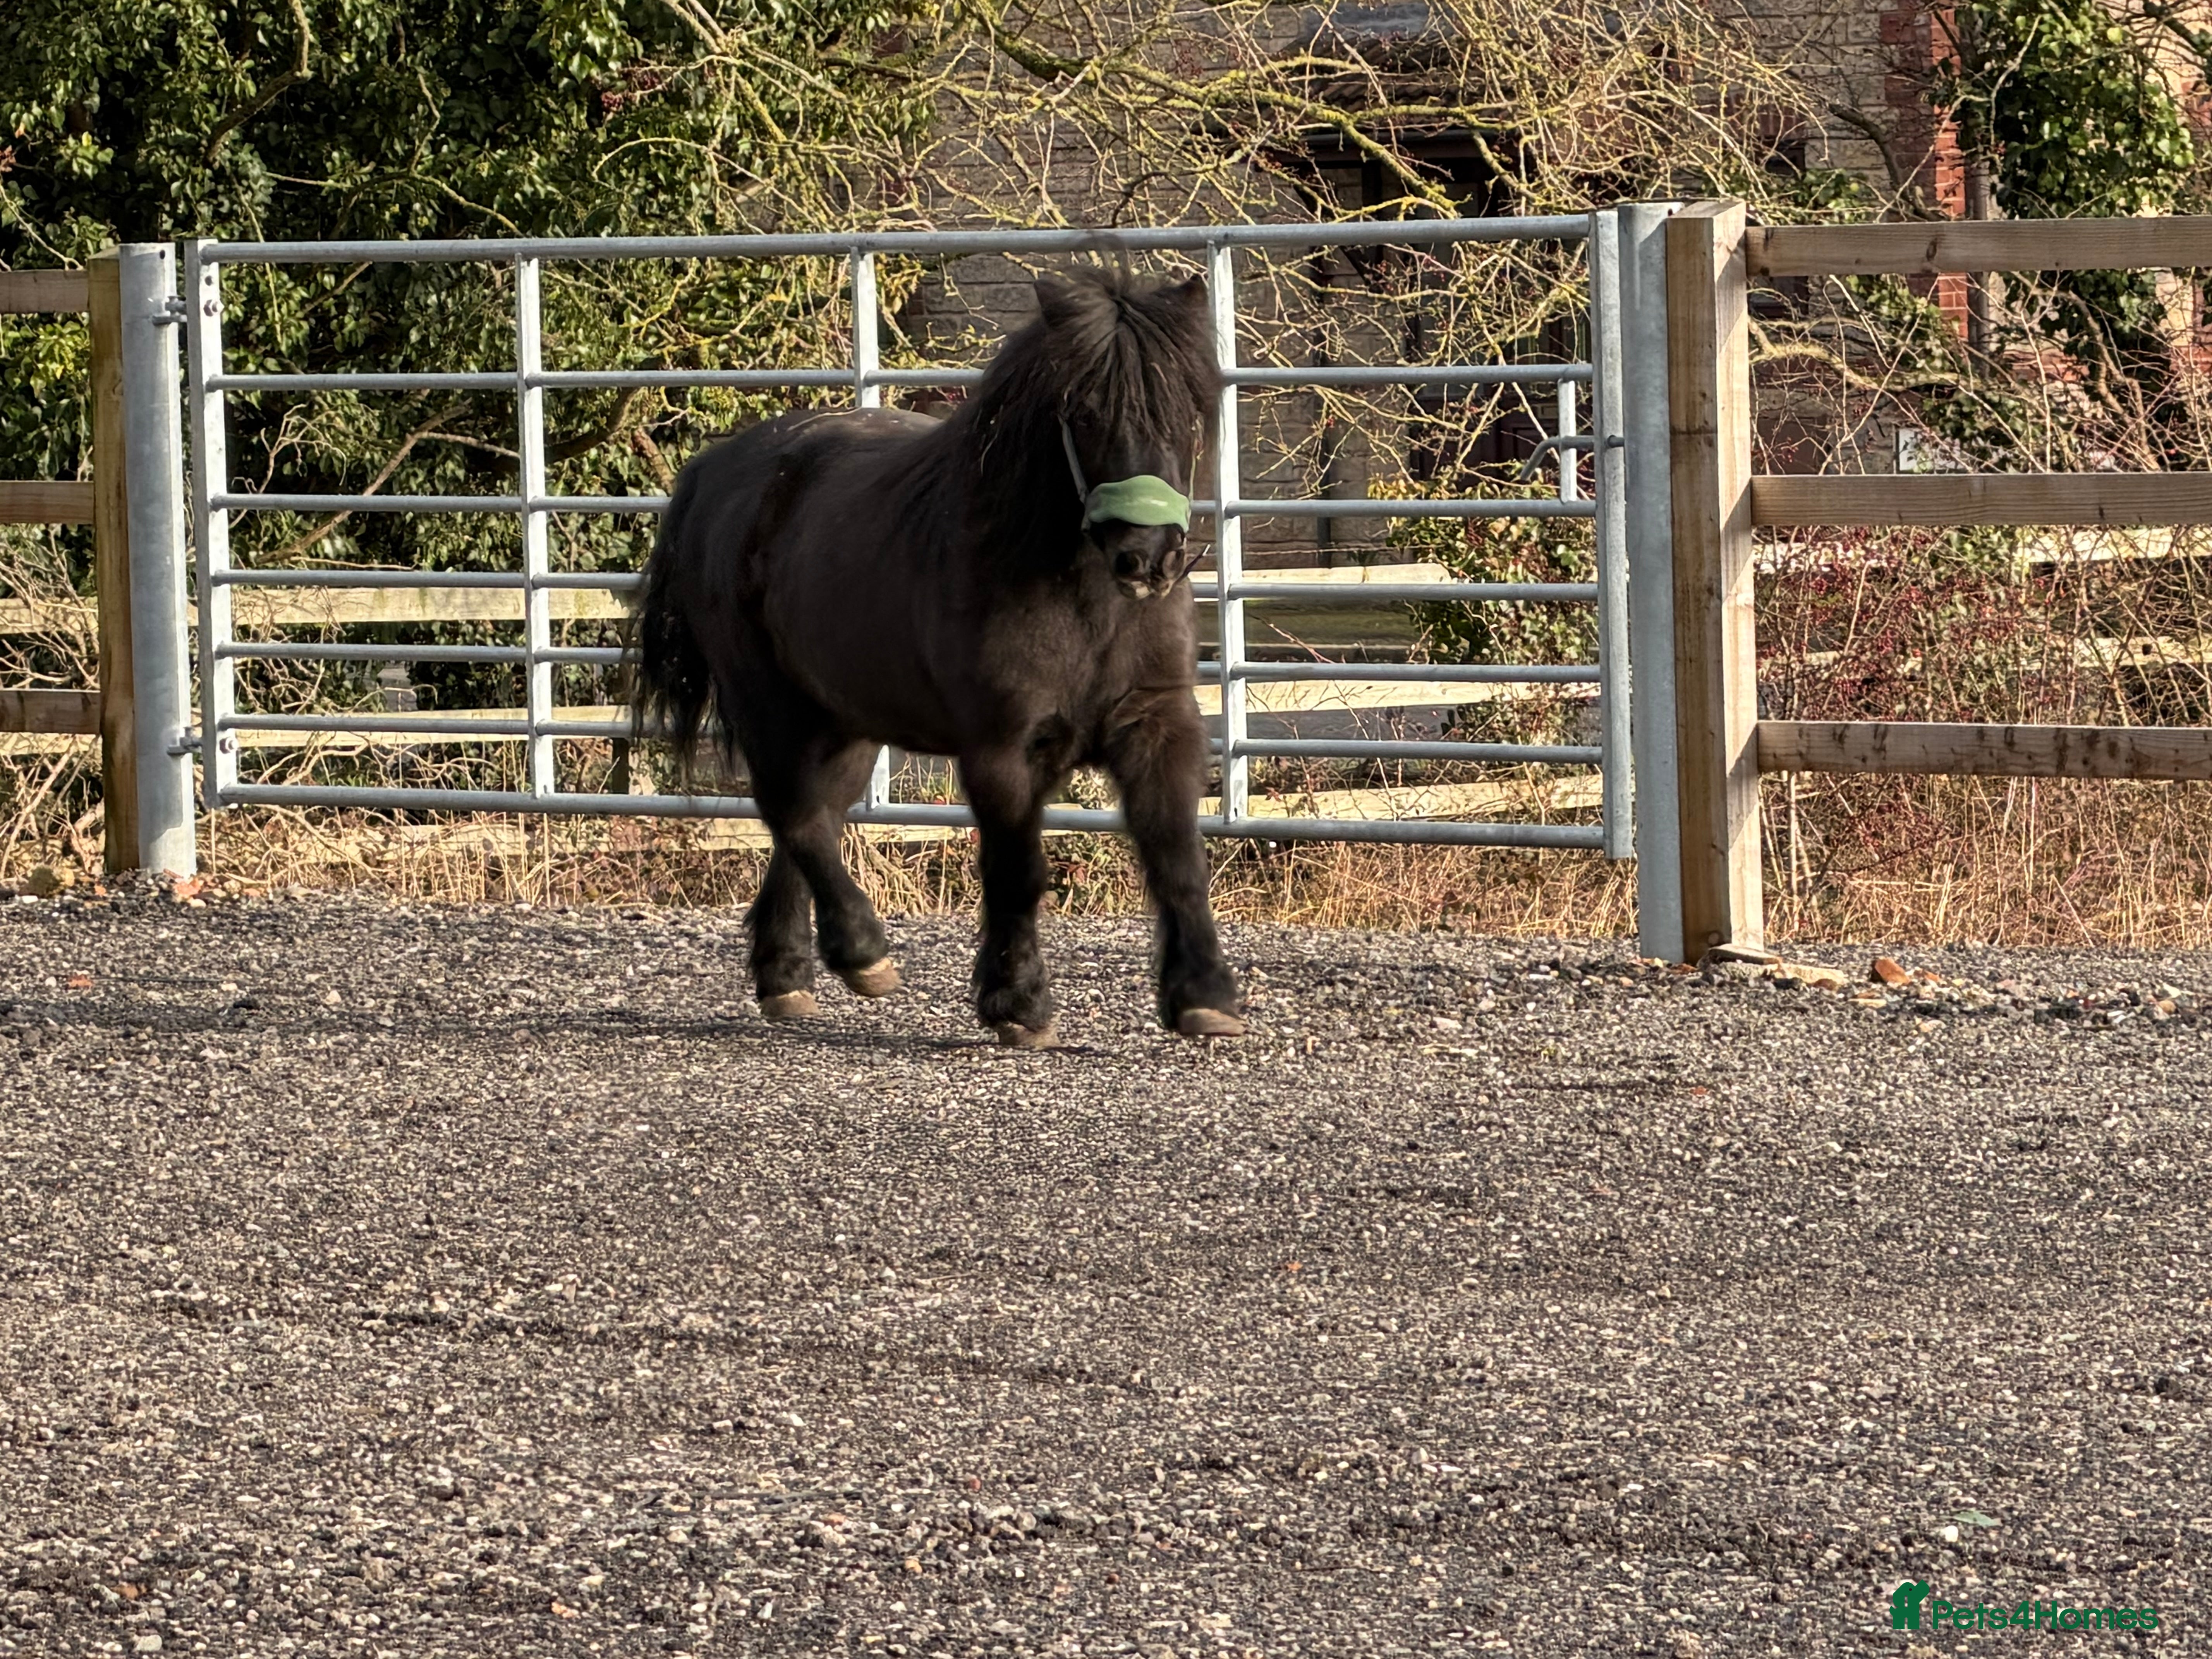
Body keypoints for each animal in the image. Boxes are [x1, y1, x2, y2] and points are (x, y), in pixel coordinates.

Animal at [628, 264, 1245, 1047]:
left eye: (1188, 411)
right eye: (1083, 413)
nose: (1147, 558)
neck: (1081, 599)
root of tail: (714, 470)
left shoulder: (1157, 723)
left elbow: (1176, 855)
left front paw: (1205, 995)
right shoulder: (1002, 749)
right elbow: (1017, 872)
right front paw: (1017, 1004)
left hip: (843, 721)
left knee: (812, 814)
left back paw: (787, 974)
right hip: (770, 702)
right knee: (795, 813)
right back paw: (862, 952)